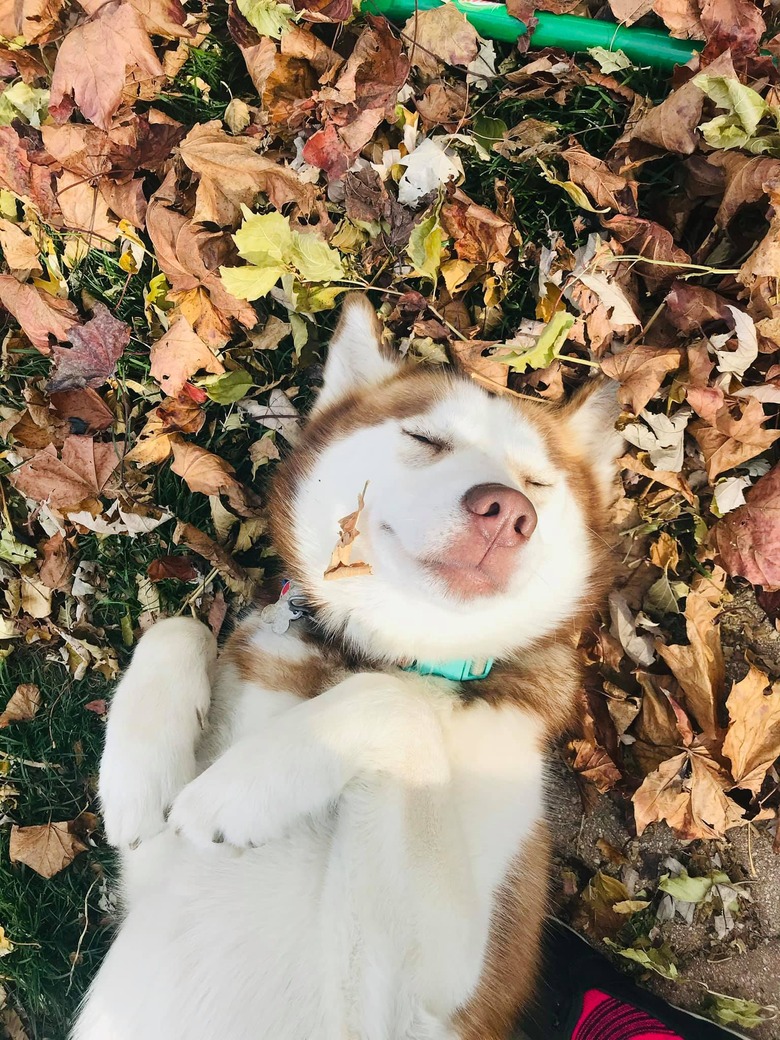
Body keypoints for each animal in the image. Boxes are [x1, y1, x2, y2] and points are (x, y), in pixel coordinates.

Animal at [73, 293, 624, 1040]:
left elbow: (396, 701)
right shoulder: (151, 876)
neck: (371, 650)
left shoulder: (417, 997)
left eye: (538, 481)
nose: (509, 511)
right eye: (426, 439)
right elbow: (177, 627)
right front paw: (139, 781)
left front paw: (241, 789)